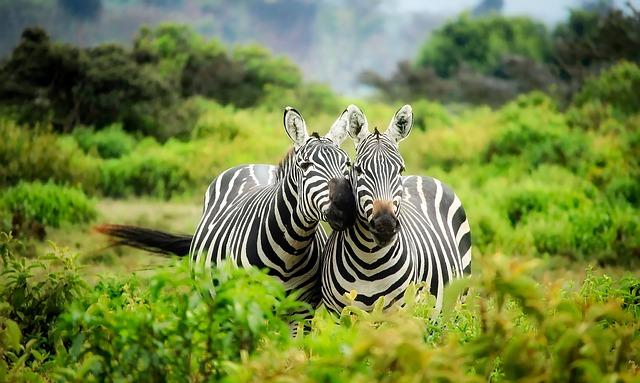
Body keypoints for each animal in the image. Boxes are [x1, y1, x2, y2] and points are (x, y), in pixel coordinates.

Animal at [102, 106, 358, 308]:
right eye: (305, 165)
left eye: (347, 163)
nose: (346, 206)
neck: (290, 251)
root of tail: (253, 164)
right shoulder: (250, 305)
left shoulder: (301, 311)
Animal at [320, 103, 470, 314]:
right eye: (358, 169)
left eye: (400, 169)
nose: (385, 225)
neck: (369, 262)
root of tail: (423, 177)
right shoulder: (338, 314)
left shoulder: (399, 312)